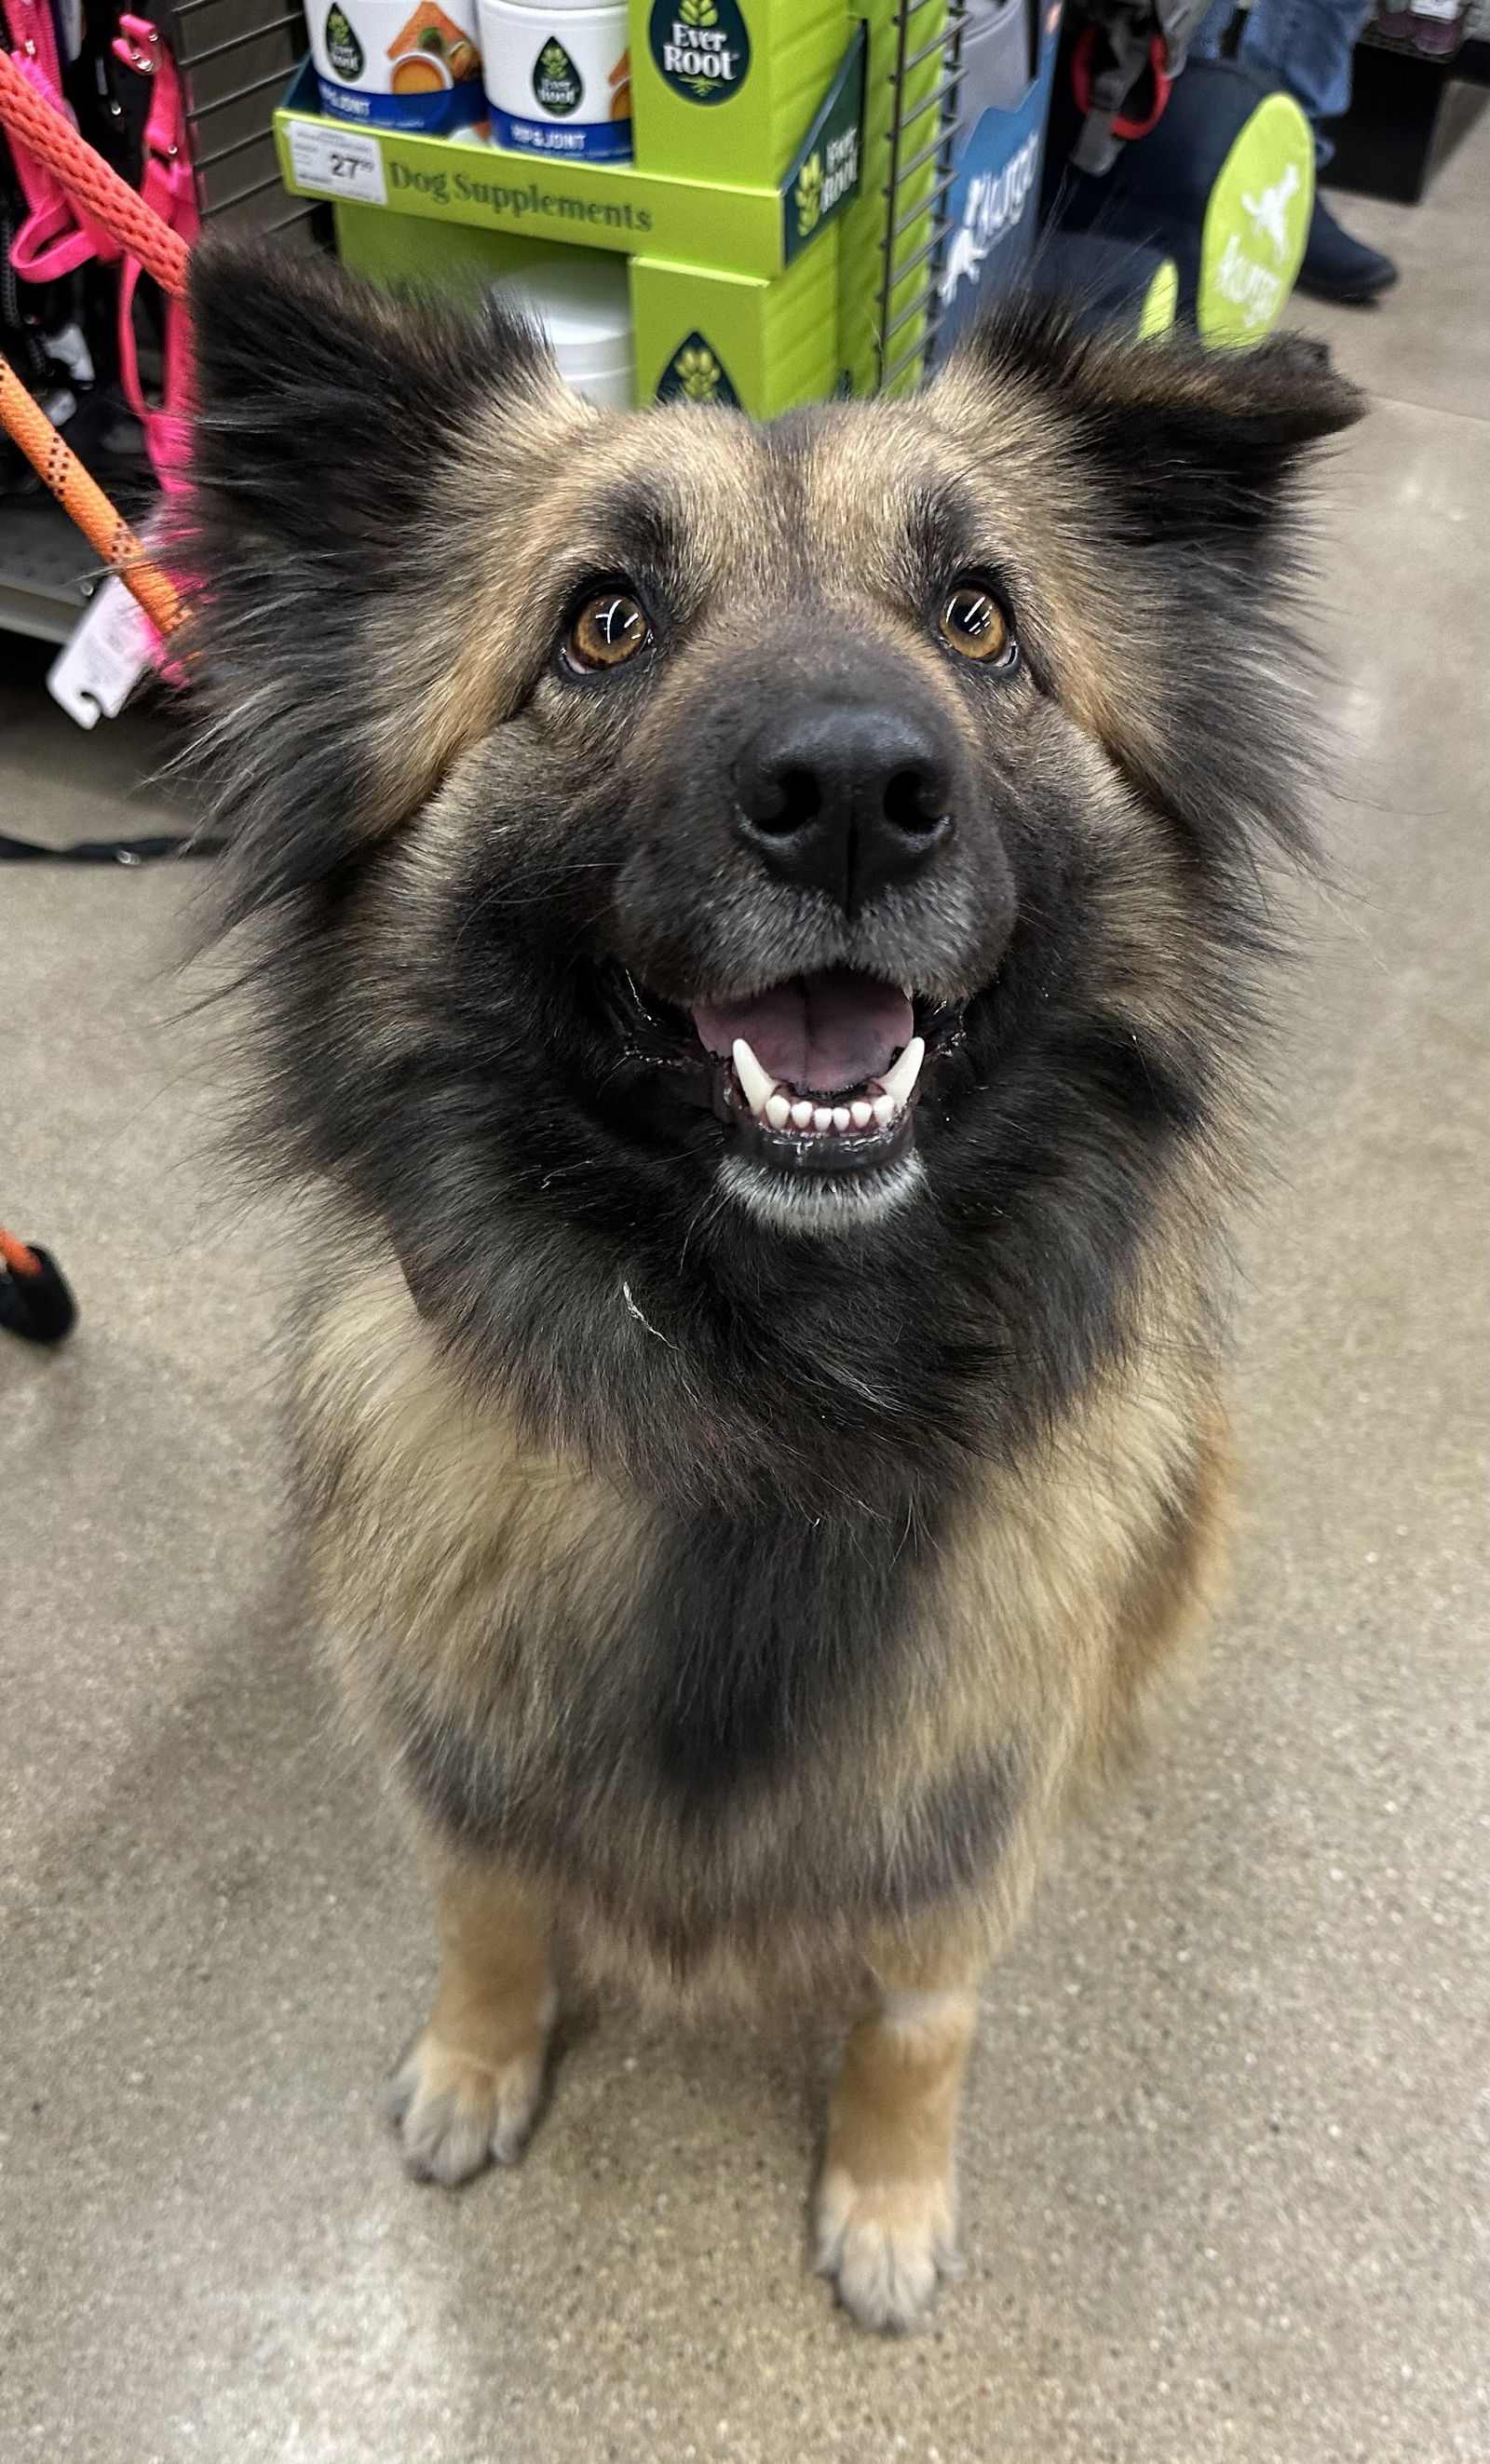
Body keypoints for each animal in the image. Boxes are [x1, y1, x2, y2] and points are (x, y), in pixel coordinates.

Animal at [180, 250, 1349, 2325]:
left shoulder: (960, 1819)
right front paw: (477, 2058)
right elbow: (489, 1907)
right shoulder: (455, 1748)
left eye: (978, 618)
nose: (856, 796)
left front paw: (885, 2200)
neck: (766, 1398)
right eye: (603, 622)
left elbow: (916, 2020)